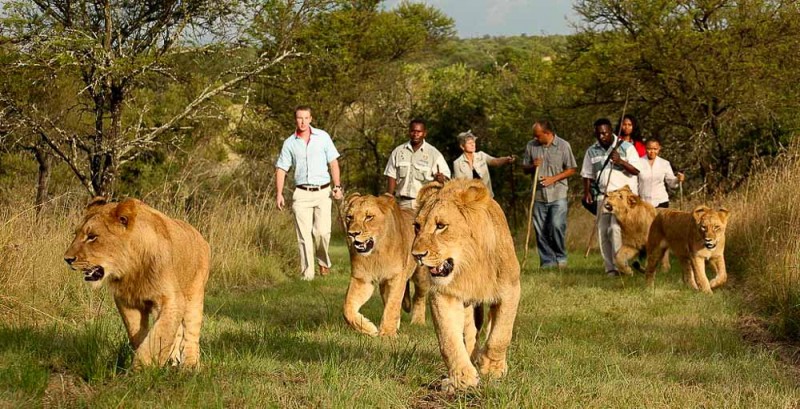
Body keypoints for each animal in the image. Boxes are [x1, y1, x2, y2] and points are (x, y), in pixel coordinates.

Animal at [63, 196, 211, 368]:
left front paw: (142, 367)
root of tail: (201, 236)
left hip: (195, 296)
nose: (67, 259)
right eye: (76, 234)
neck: (132, 270)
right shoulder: (127, 301)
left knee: (191, 334)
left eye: (92, 236)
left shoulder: (172, 300)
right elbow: (139, 334)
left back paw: (190, 365)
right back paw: (173, 360)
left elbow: (158, 334)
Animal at [344, 193, 432, 336]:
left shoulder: (397, 277)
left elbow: (393, 305)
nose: (352, 233)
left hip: (421, 277)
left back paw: (418, 322)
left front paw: (387, 334)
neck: (376, 253)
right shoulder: (362, 279)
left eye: (369, 217)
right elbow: (347, 308)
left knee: (419, 296)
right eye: (349, 217)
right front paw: (369, 329)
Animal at [412, 180, 520, 390]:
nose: (417, 255)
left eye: (441, 226)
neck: (470, 267)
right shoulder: (444, 294)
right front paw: (462, 377)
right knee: (470, 334)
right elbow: (449, 339)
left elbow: (500, 335)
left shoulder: (511, 290)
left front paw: (492, 368)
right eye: (417, 226)